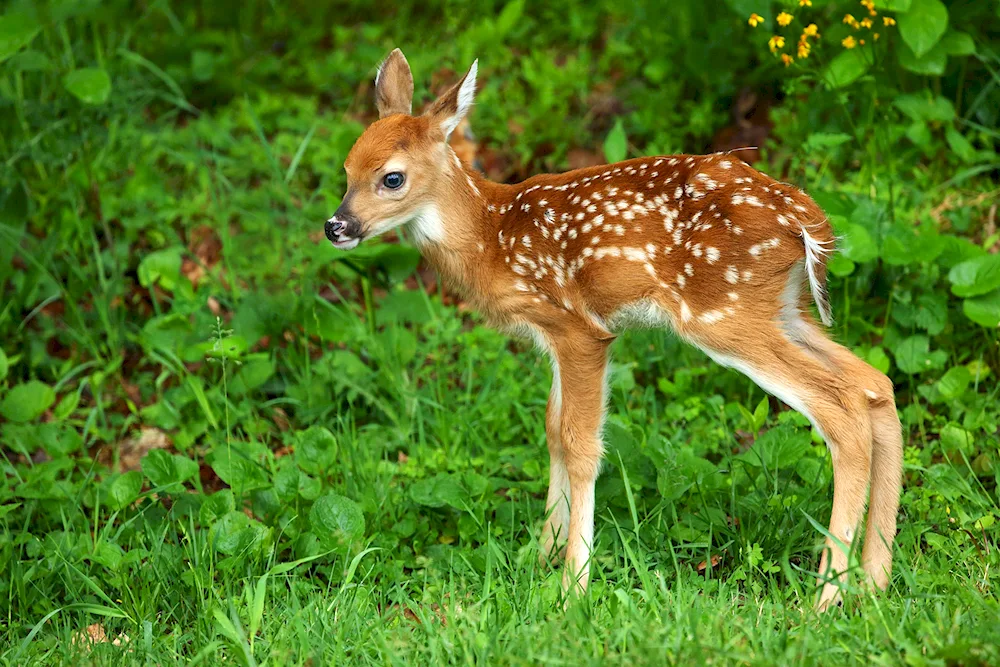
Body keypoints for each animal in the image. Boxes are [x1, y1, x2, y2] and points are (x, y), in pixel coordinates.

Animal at [328, 49, 908, 608]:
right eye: (347, 169)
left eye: (392, 177)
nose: (336, 226)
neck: (490, 239)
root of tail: (805, 218)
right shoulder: (556, 337)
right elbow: (552, 431)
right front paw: (542, 555)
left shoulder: (579, 329)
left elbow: (580, 443)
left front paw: (573, 586)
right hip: (782, 310)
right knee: (875, 384)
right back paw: (874, 581)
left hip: (724, 313)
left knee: (842, 409)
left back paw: (826, 598)